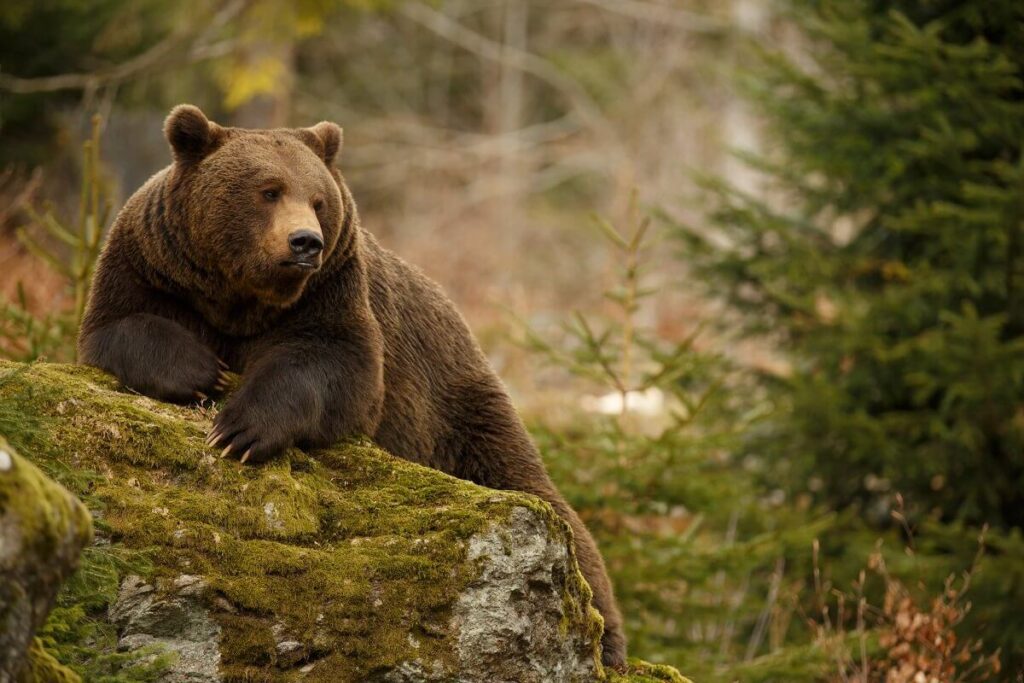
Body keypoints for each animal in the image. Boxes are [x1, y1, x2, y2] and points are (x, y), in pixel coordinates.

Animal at [78, 104, 626, 667]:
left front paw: (240, 429)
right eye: (269, 190)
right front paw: (202, 372)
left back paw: (604, 639)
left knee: (546, 506)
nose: (305, 242)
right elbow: (121, 325)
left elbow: (335, 367)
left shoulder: (333, 293)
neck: (242, 298)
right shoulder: (152, 266)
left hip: (457, 411)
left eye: (318, 200)